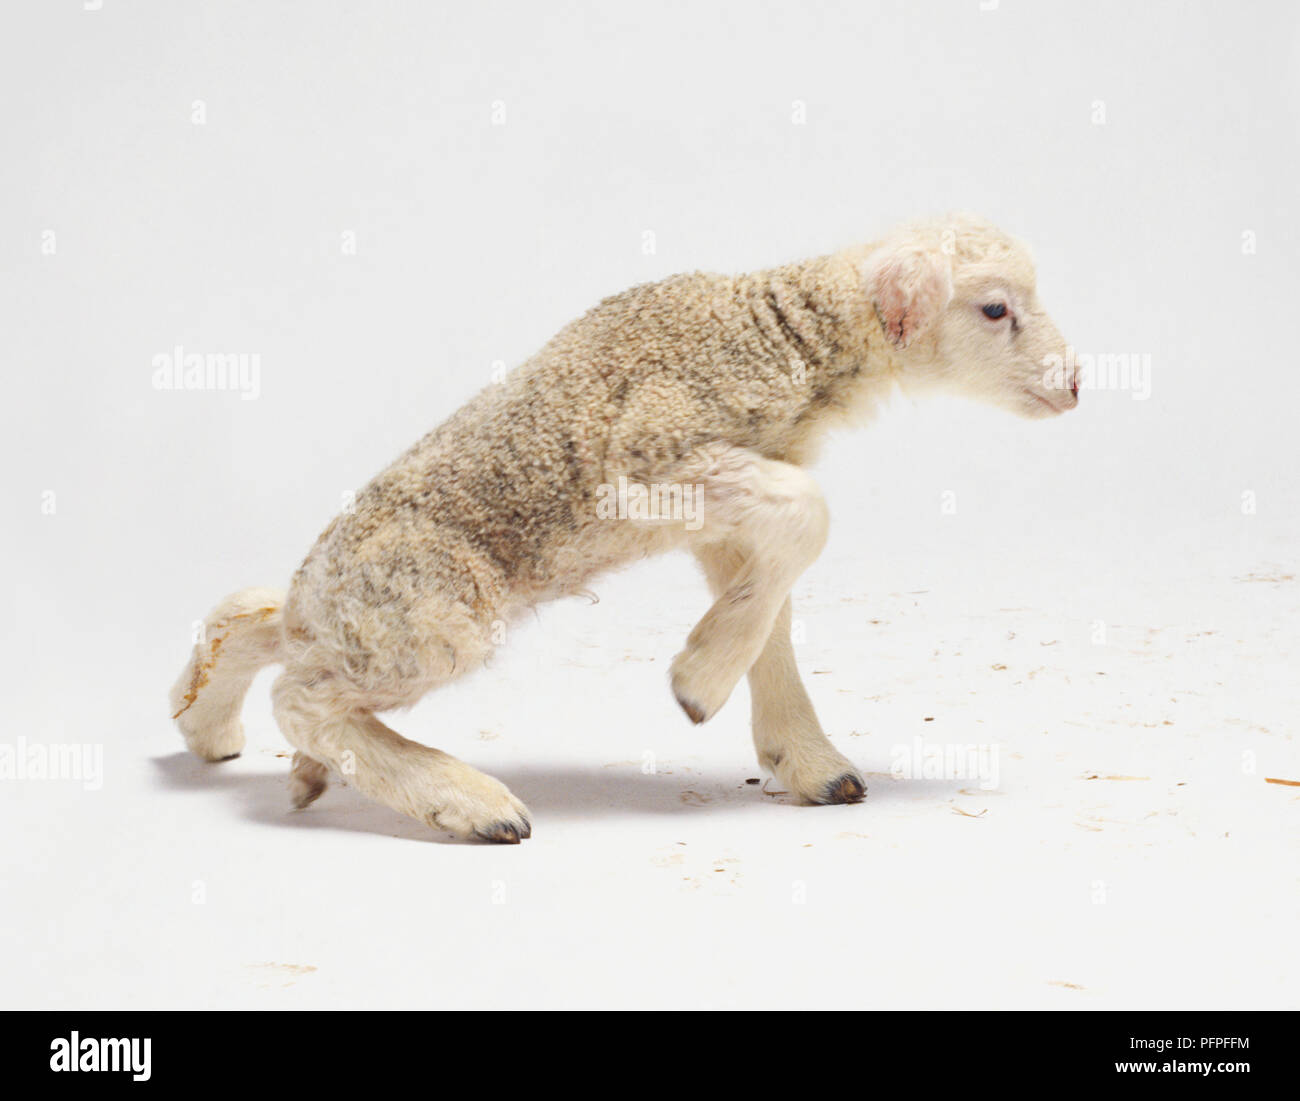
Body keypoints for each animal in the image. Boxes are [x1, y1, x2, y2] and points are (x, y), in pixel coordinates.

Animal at [170, 213, 1078, 843]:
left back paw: (214, 729)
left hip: (358, 617)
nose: (1075, 384)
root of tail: (313, 598)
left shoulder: (728, 508)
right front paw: (699, 682)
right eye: (995, 308)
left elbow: (775, 603)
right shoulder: (648, 459)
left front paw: (803, 756)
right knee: (303, 698)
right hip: (430, 610)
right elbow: (809, 513)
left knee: (253, 622)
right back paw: (468, 802)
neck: (775, 332)